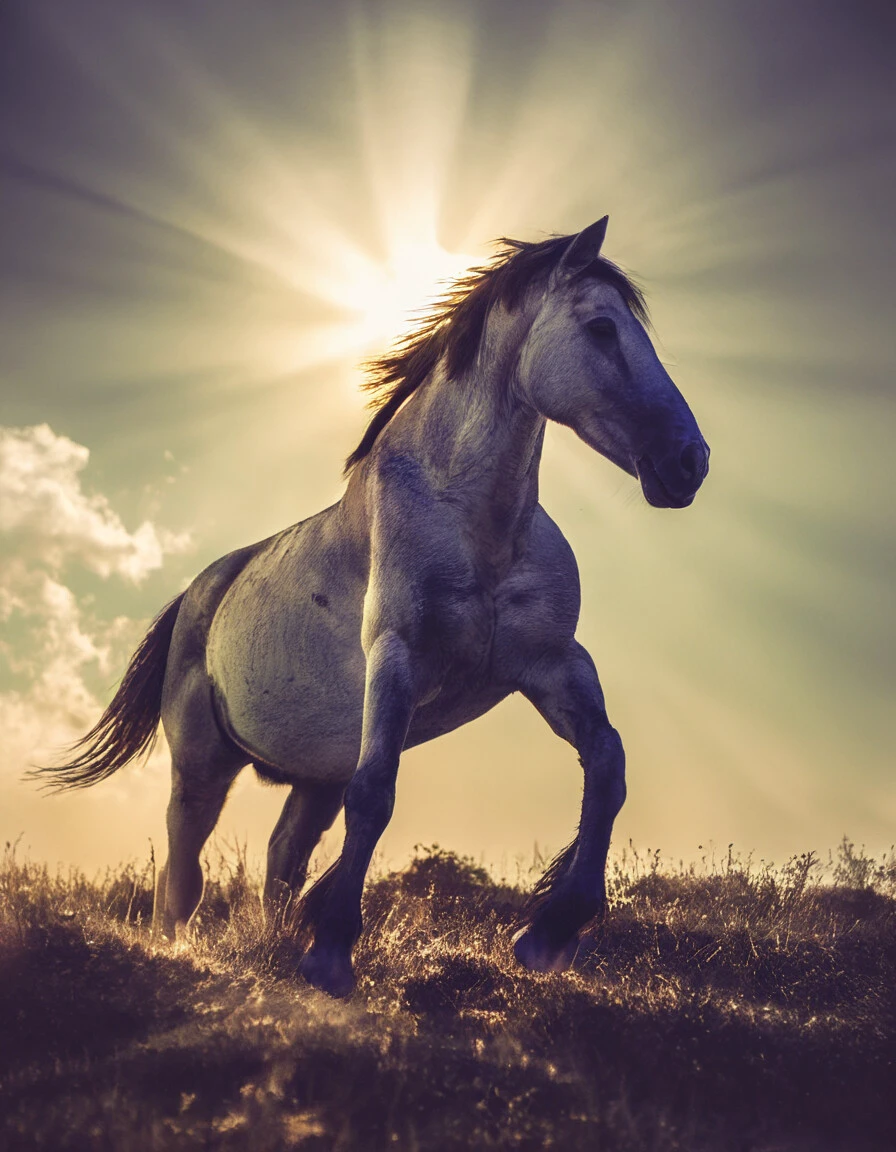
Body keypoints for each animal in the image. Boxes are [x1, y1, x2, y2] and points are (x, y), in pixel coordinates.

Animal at [34, 217, 709, 999]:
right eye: (602, 328)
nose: (690, 461)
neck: (473, 522)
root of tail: (198, 593)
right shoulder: (396, 656)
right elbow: (377, 792)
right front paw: (331, 950)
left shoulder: (552, 665)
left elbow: (607, 760)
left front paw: (551, 931)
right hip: (202, 762)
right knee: (183, 873)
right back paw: (187, 950)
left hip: (312, 775)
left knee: (281, 857)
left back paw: (278, 942)